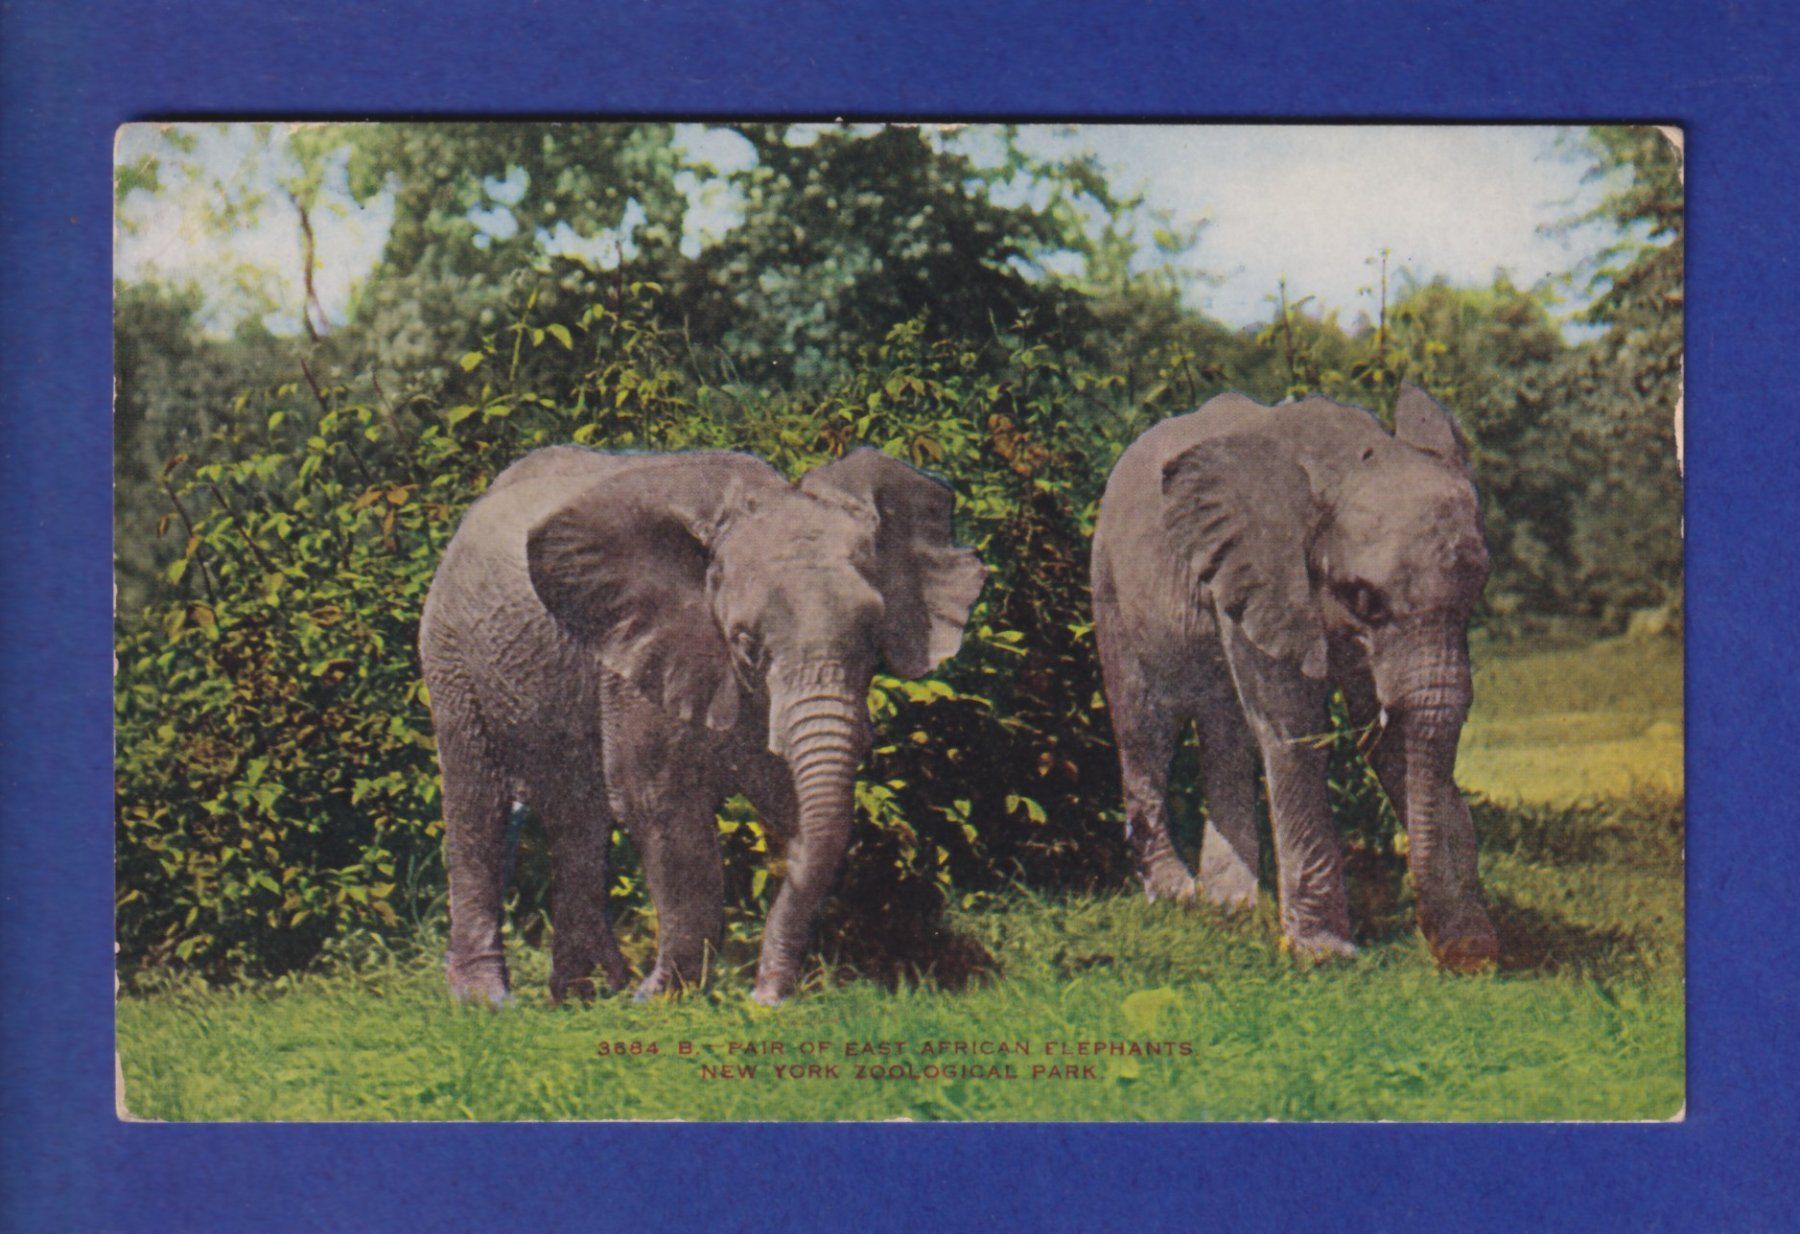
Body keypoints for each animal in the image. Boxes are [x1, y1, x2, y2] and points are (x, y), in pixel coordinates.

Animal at [418, 445, 986, 1006]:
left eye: (872, 637)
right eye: (745, 642)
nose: (764, 996)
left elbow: (795, 807)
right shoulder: (639, 659)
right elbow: (662, 808)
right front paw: (661, 1000)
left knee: (578, 821)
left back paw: (584, 995)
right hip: (451, 654)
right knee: (479, 807)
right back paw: (488, 1001)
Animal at [1090, 383, 1499, 970]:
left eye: (1476, 591)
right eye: (1363, 599)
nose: (1466, 959)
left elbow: (1391, 738)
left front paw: (1472, 945)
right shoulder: (1265, 572)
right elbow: (1296, 728)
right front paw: (1324, 956)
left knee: (1224, 728)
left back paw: (1229, 907)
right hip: (1110, 579)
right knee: (1145, 724)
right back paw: (1177, 896)